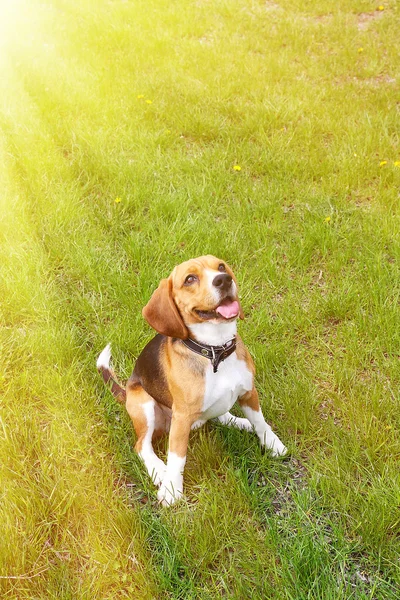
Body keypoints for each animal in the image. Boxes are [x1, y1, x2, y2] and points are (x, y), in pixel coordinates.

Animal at [97, 255, 286, 504]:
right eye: (190, 279)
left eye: (221, 266)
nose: (223, 280)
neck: (215, 351)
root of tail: (127, 391)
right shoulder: (182, 417)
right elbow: (177, 457)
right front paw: (171, 490)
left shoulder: (248, 392)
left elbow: (261, 422)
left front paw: (273, 444)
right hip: (143, 404)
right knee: (142, 445)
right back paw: (159, 469)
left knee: (220, 415)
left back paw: (241, 422)